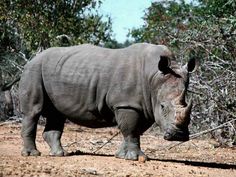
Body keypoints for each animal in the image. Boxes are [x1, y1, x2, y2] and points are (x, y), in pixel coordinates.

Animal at [19, 43, 197, 160]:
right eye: (163, 106)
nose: (179, 136)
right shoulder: (126, 104)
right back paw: (32, 155)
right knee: (33, 112)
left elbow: (135, 130)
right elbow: (131, 130)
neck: (154, 77)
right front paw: (136, 158)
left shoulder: (145, 106)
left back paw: (59, 154)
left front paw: (121, 156)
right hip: (33, 70)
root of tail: (32, 59)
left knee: (56, 114)